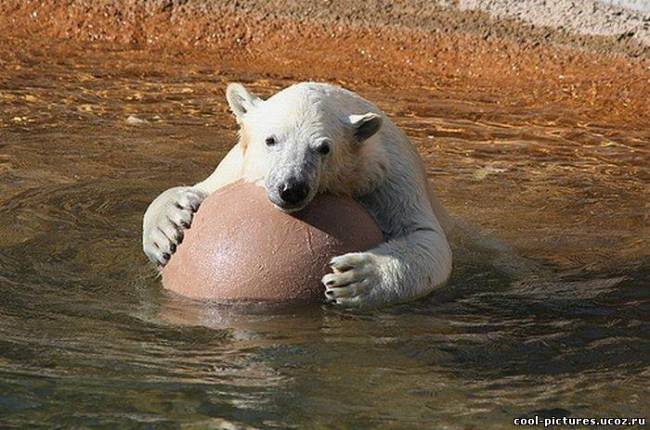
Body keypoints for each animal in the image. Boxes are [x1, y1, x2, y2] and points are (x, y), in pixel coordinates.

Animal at [142, 81, 450, 310]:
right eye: (271, 140)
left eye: (323, 148)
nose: (291, 188)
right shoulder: (237, 168)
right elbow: (200, 189)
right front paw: (165, 232)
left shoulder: (388, 178)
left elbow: (427, 238)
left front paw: (354, 279)